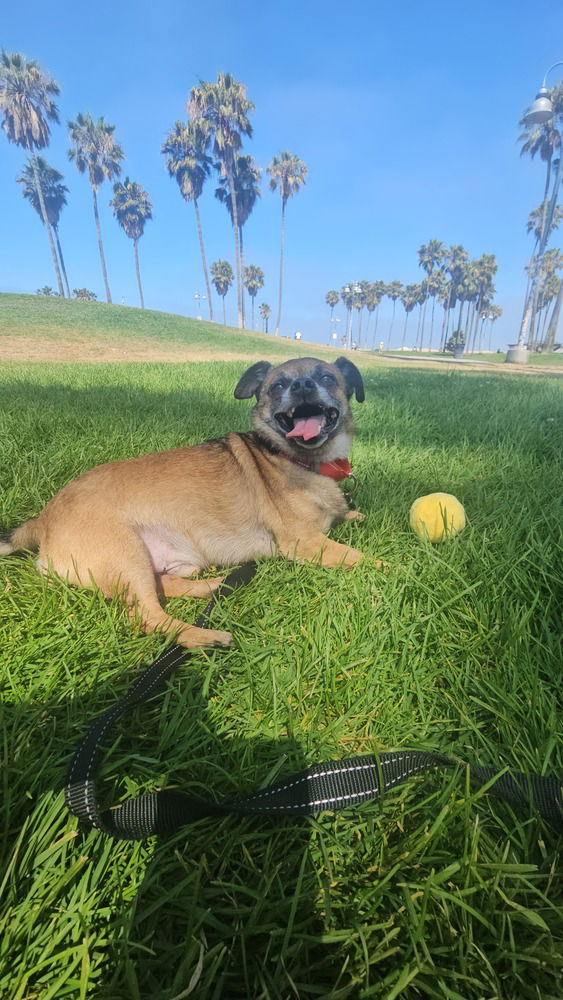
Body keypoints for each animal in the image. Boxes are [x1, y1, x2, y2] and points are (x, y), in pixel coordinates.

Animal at [0, 358, 366, 648]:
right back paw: (206, 637)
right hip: (126, 553)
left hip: (156, 563)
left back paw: (215, 587)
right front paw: (382, 573)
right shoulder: (305, 543)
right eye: (277, 386)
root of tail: (42, 520)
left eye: (328, 378)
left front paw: (355, 515)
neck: (300, 459)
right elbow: (362, 558)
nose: (303, 385)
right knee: (147, 616)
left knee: (164, 585)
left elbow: (348, 518)